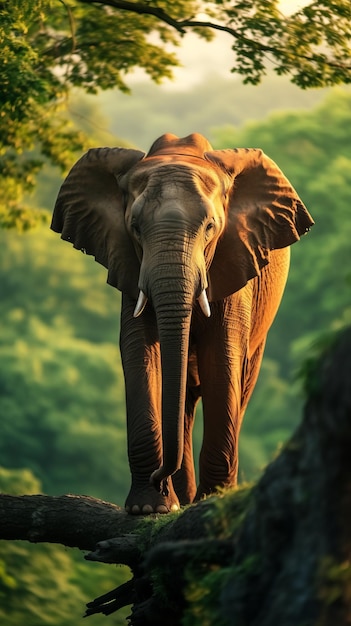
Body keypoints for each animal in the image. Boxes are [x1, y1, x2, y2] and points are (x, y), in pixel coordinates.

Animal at [51, 132, 314, 512]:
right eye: (135, 228)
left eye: (210, 228)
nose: (159, 478)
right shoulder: (131, 266)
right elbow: (139, 352)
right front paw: (150, 507)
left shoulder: (235, 261)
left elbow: (222, 356)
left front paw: (212, 501)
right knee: (184, 397)